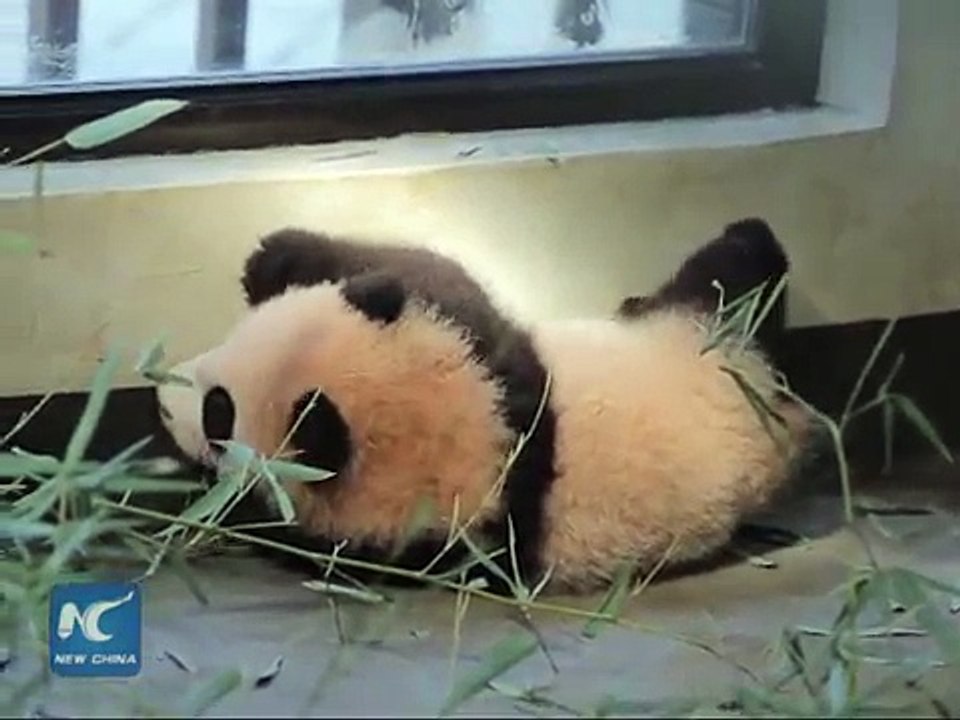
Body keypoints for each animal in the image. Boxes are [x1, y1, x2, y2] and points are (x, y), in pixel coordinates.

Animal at [157, 219, 818, 594]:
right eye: (229, 341)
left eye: (219, 412)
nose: (162, 401)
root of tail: (785, 417)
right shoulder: (488, 355)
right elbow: (423, 273)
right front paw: (275, 260)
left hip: (701, 338)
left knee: (733, 272)